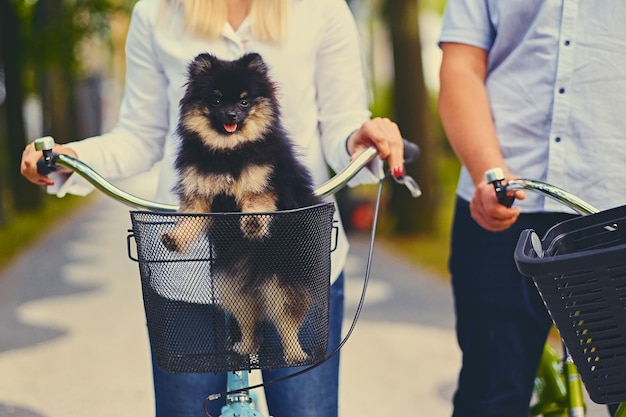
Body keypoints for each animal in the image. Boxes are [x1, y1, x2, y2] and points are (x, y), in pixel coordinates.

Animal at [158, 52, 324, 364]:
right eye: (217, 101)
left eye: (245, 101)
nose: (232, 115)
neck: (228, 151)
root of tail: (255, 277)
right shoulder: (200, 194)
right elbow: (189, 220)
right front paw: (175, 238)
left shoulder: (262, 185)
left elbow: (256, 203)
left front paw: (253, 224)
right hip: (233, 288)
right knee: (251, 324)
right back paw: (245, 346)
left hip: (280, 283)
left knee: (287, 323)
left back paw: (294, 353)